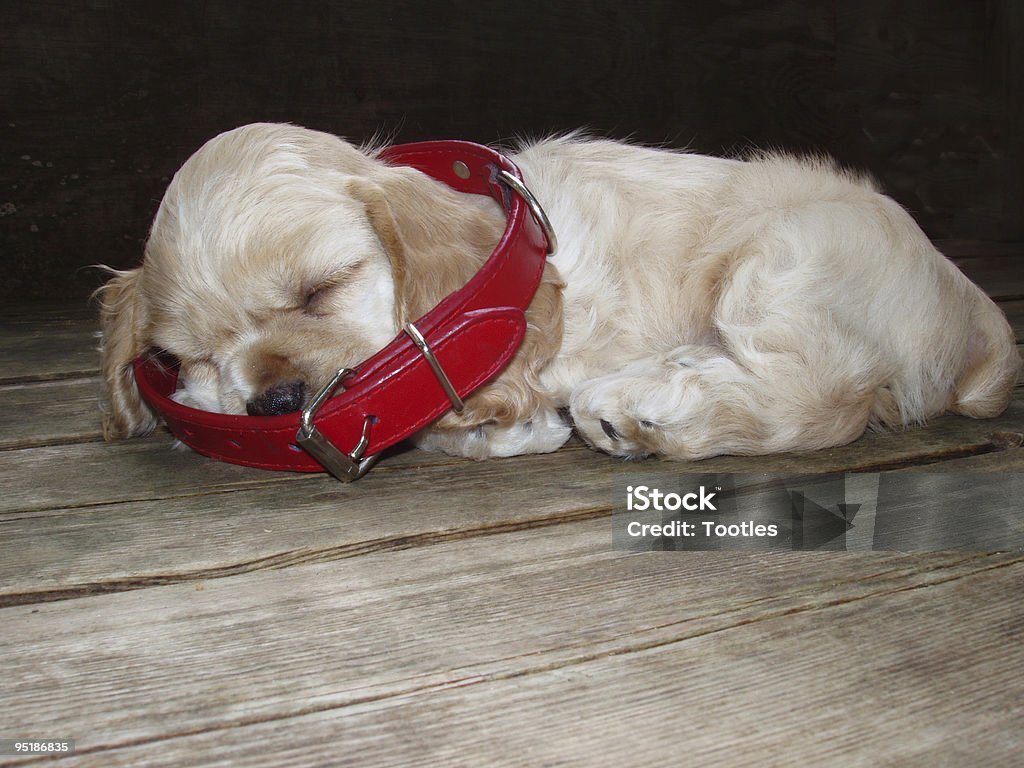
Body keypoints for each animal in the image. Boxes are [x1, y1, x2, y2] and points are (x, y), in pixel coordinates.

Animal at [97, 124, 1024, 462]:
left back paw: (642, 410)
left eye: (322, 288)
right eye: (180, 356)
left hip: (790, 263)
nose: (276, 401)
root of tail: (981, 326)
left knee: (822, 399)